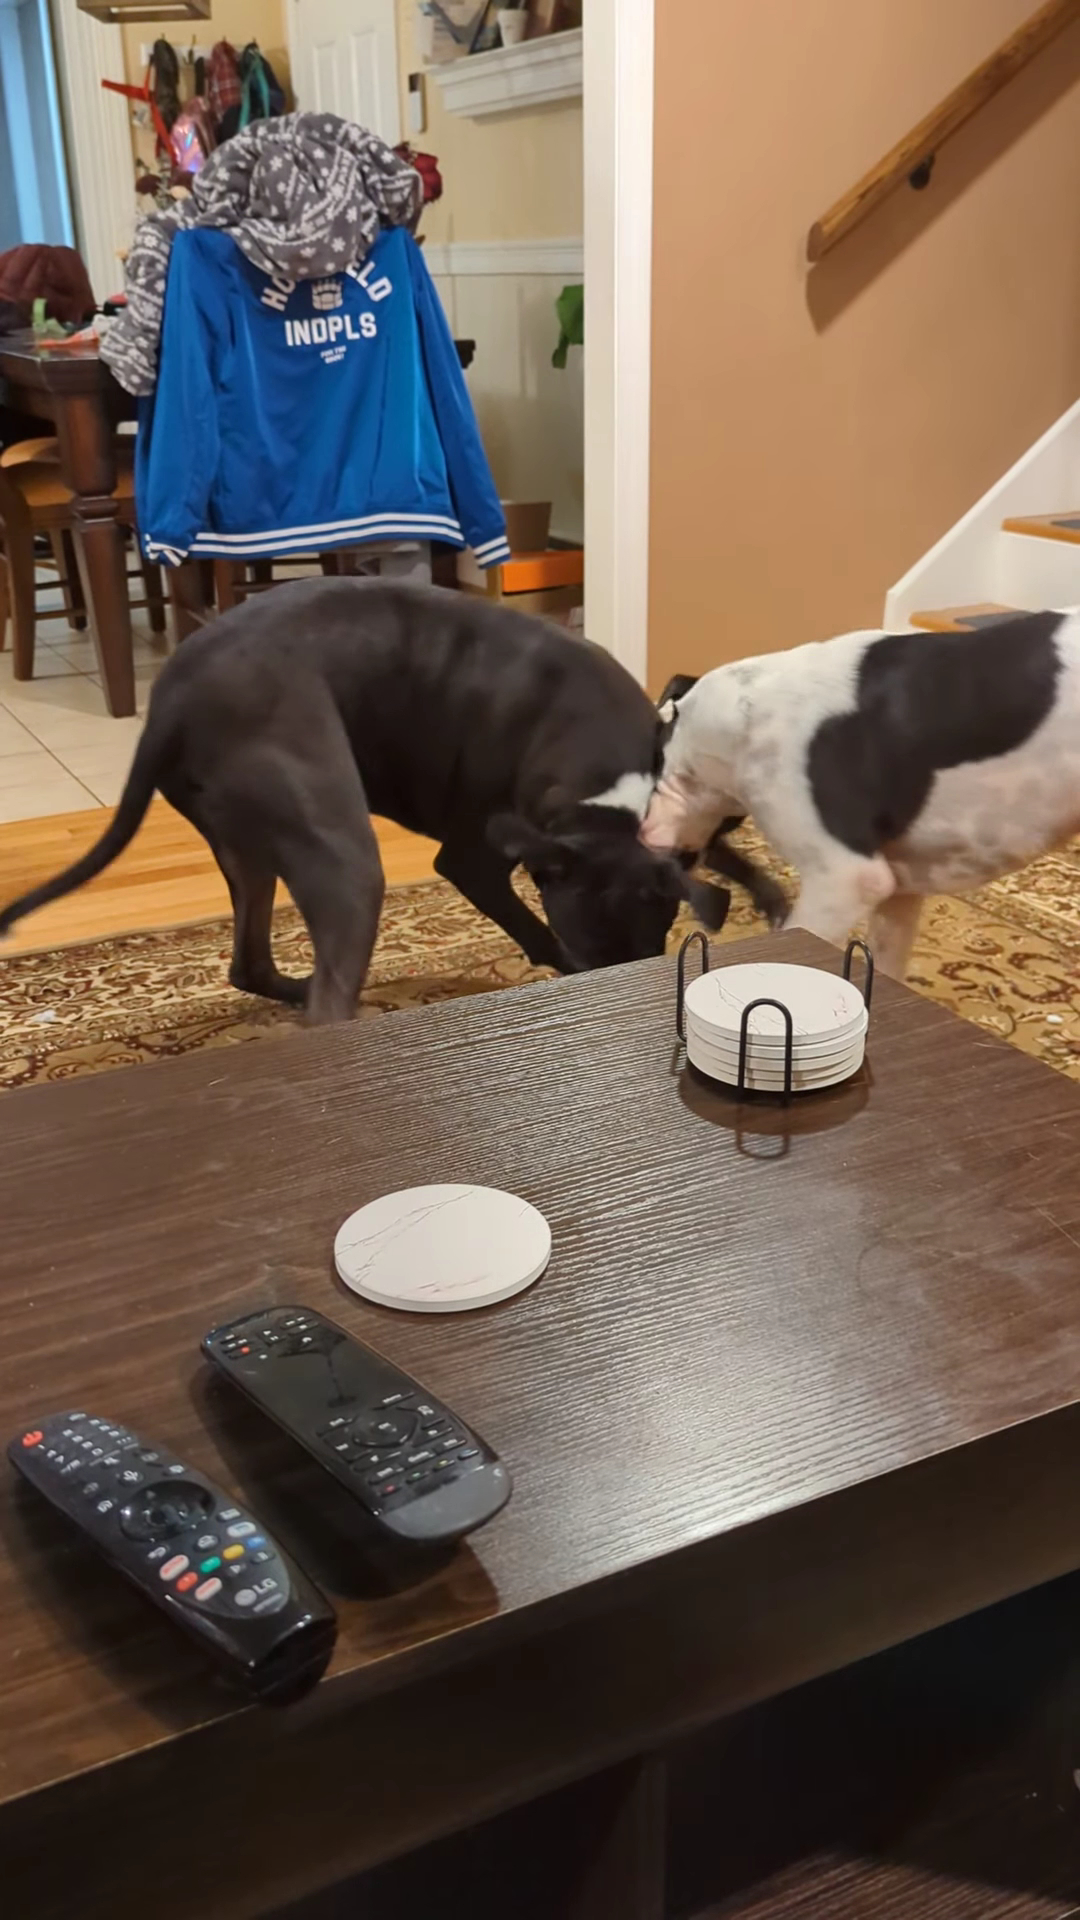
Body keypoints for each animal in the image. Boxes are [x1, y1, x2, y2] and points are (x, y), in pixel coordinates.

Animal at [0, 578, 734, 1023]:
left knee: (251, 962)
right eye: (593, 953)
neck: (601, 794)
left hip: (248, 846)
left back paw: (294, 988)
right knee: (326, 991)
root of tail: (171, 702)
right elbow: (536, 930)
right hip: (344, 860)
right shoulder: (473, 860)